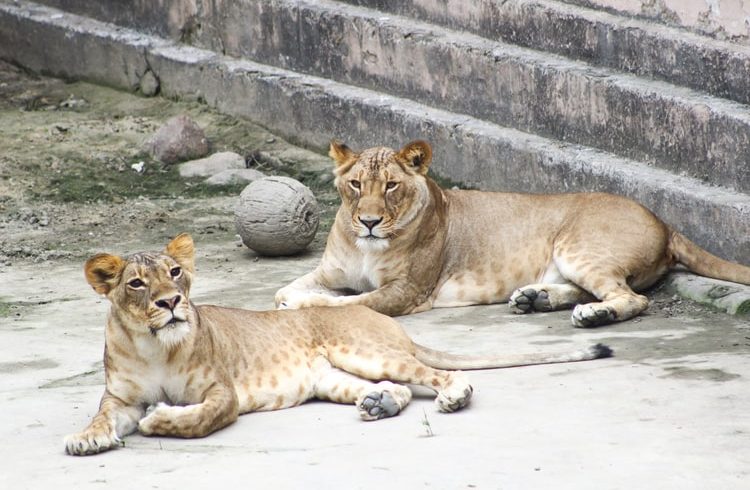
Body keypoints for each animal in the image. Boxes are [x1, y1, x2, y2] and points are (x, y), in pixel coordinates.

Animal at [67, 234, 612, 456]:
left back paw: (452, 396)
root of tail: (382, 319)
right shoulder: (119, 398)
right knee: (398, 388)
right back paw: (378, 403)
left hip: (364, 350)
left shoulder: (223, 393)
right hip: (330, 375)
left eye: (176, 271)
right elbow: (100, 415)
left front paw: (160, 419)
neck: (154, 345)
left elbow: (196, 418)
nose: (172, 301)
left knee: (439, 376)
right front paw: (86, 440)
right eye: (137, 284)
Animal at [278, 140, 750, 328]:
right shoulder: (330, 273)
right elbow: (289, 287)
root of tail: (666, 223)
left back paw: (591, 316)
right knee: (597, 289)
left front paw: (301, 306)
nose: (370, 221)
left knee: (631, 298)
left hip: (578, 247)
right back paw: (535, 298)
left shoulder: (407, 291)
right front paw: (287, 298)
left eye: (391, 186)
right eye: (356, 184)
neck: (363, 246)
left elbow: (351, 302)